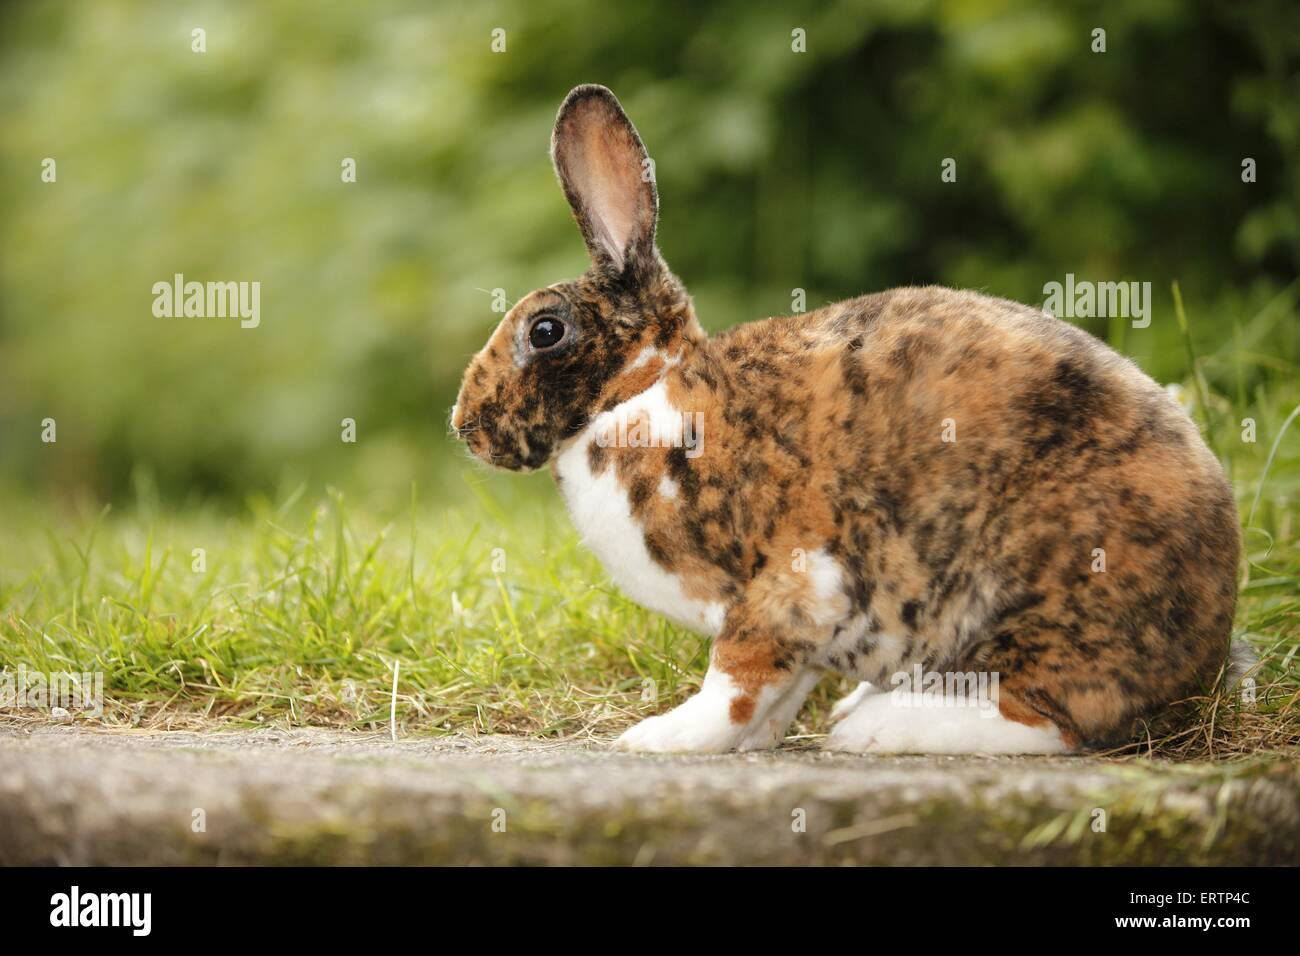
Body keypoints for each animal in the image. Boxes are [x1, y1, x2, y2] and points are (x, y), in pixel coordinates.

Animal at [452, 83, 1242, 754]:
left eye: (545, 331)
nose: (464, 424)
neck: (642, 393)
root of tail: (1203, 645)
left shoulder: (788, 587)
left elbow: (733, 681)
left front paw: (663, 739)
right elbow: (779, 690)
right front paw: (755, 741)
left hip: (1035, 603)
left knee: (1048, 718)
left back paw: (877, 727)